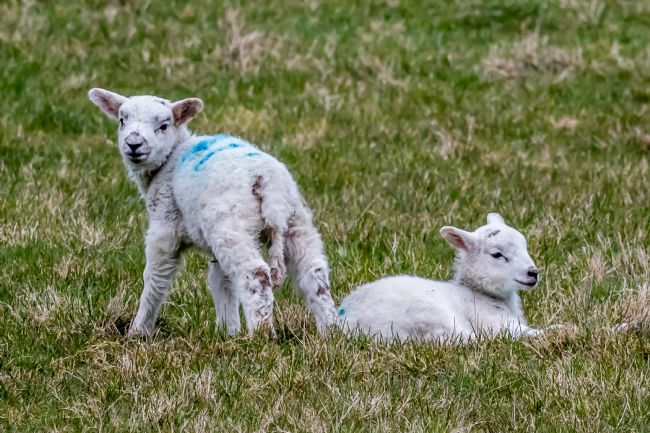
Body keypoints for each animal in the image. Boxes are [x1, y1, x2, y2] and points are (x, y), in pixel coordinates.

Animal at [87, 88, 336, 337]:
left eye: (164, 125)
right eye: (122, 120)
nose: (134, 143)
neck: (170, 159)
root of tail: (267, 182)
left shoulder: (164, 227)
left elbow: (155, 278)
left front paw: (138, 330)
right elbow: (221, 281)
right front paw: (228, 330)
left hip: (232, 225)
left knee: (256, 273)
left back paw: (261, 334)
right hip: (294, 222)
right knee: (314, 273)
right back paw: (331, 331)